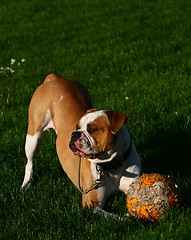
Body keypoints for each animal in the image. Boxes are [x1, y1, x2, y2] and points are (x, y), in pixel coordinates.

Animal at [22, 73, 142, 216]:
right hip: (34, 136)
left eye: (93, 129)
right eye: (77, 127)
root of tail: (55, 78)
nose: (75, 134)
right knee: (30, 161)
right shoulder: (92, 205)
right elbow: (117, 217)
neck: (111, 165)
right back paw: (26, 184)